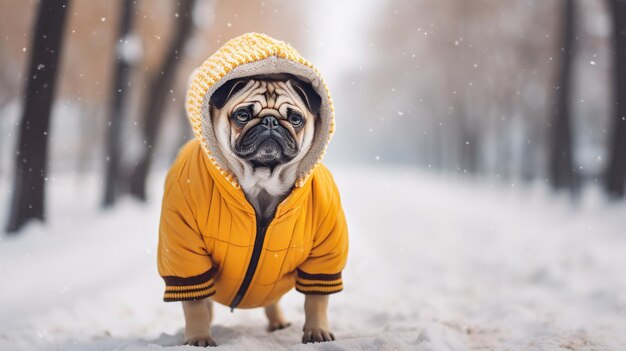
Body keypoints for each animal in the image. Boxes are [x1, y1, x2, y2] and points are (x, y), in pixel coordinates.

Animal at [180, 74, 334, 346]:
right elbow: (196, 303)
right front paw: (199, 337)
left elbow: (316, 300)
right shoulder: (188, 255)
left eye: (296, 119)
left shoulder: (323, 256)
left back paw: (278, 323)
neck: (262, 182)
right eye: (242, 115)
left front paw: (317, 332)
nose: (270, 121)